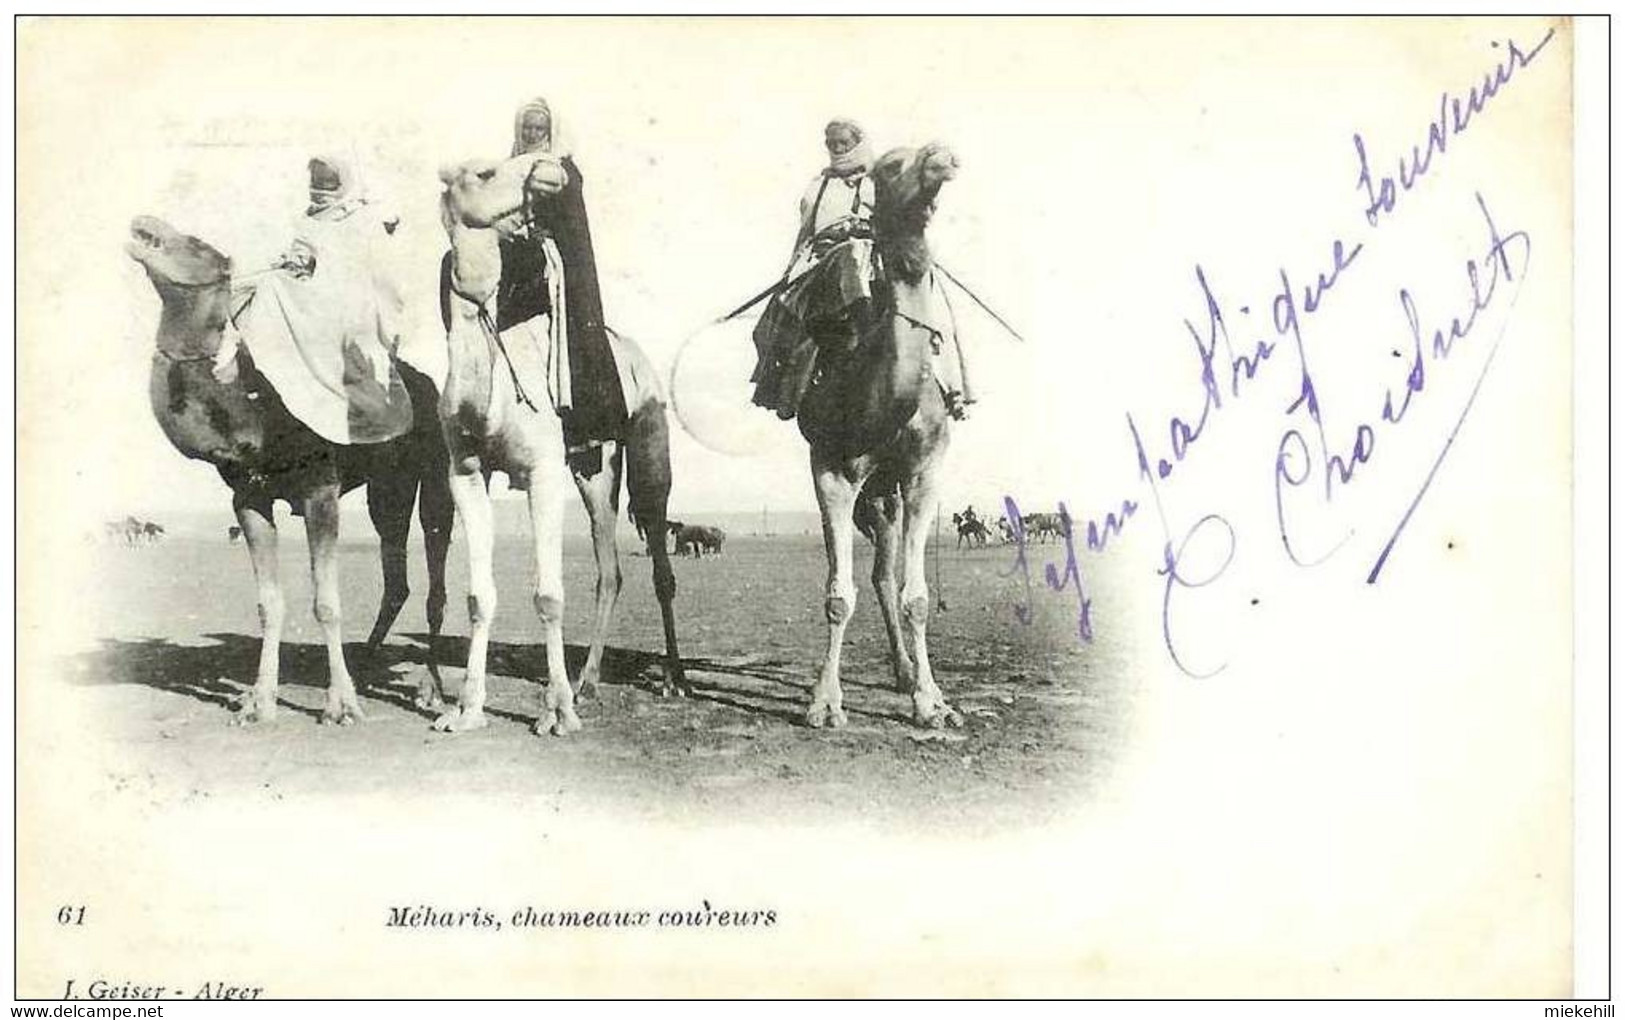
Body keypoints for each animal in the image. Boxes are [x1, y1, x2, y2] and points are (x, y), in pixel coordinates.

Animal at [432, 153, 679, 734]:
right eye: (484, 174)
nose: (551, 166)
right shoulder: (465, 472)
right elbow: (479, 597)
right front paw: (466, 709)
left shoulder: (541, 472)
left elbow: (547, 595)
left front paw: (556, 712)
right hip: (594, 468)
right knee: (609, 570)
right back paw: (589, 681)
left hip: (649, 448)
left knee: (660, 562)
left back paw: (673, 680)